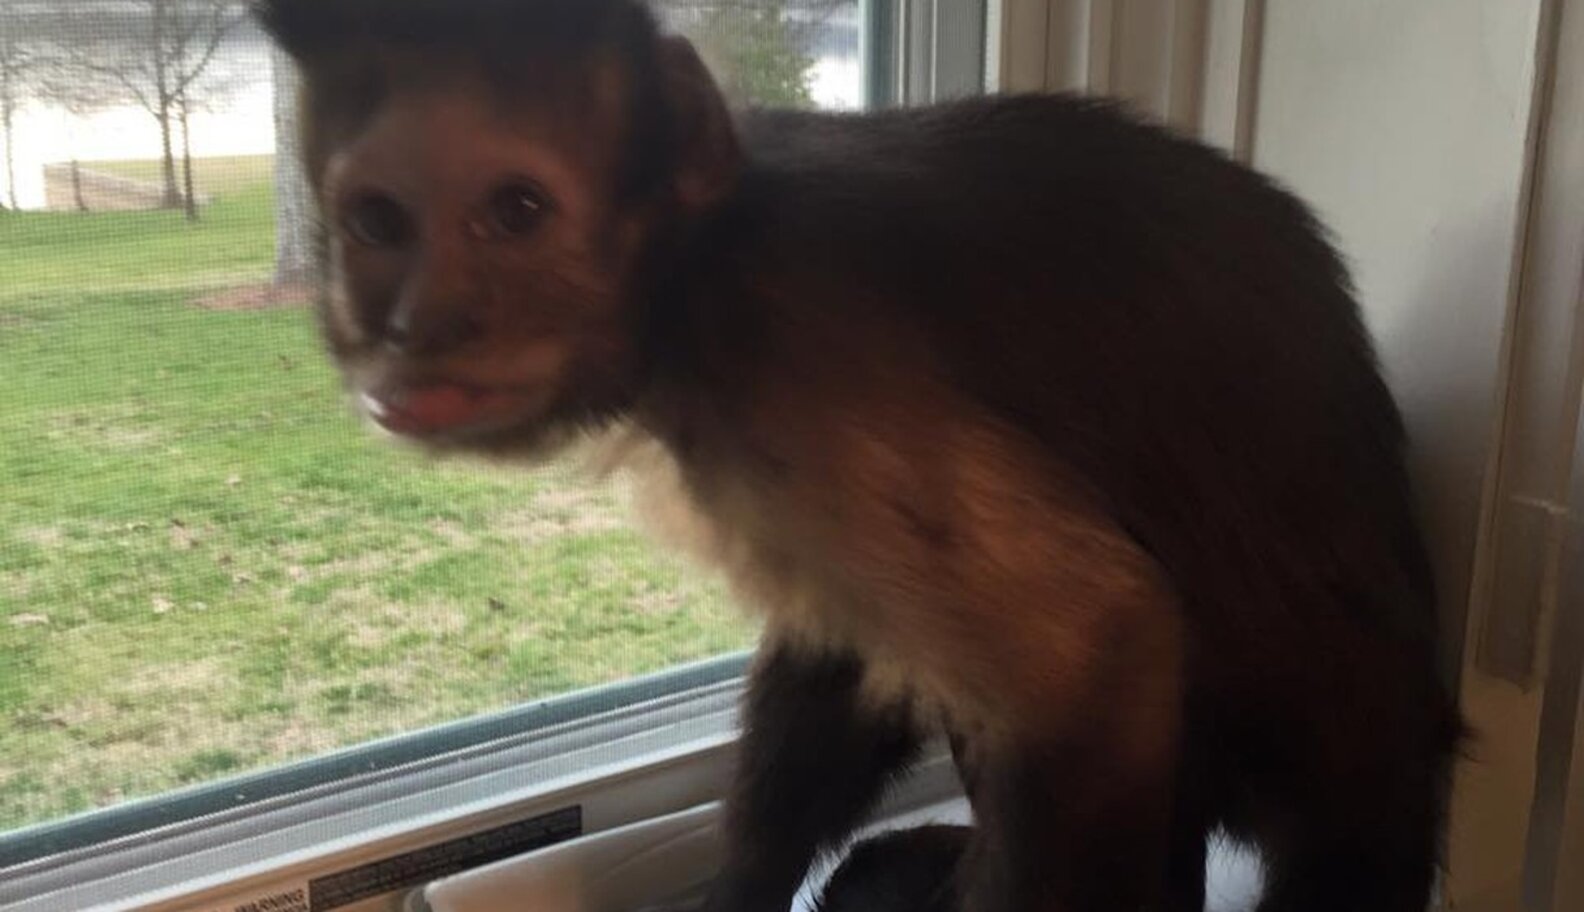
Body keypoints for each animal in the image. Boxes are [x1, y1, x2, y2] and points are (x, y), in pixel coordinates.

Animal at [256, 1, 1464, 910]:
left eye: (515, 209)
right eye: (378, 223)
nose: (417, 328)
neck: (698, 270)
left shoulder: (802, 362)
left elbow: (1094, 647)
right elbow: (842, 650)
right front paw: (742, 894)